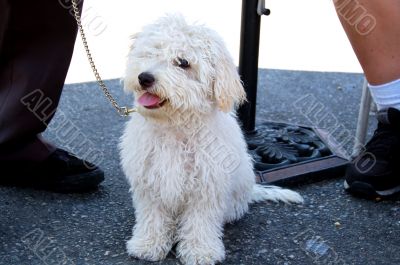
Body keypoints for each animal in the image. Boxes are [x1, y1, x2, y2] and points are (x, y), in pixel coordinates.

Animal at [119, 14, 304, 264]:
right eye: (151, 52)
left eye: (183, 63)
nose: (144, 77)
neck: (175, 126)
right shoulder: (149, 182)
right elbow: (152, 216)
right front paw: (148, 244)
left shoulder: (207, 186)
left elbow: (200, 222)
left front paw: (200, 251)